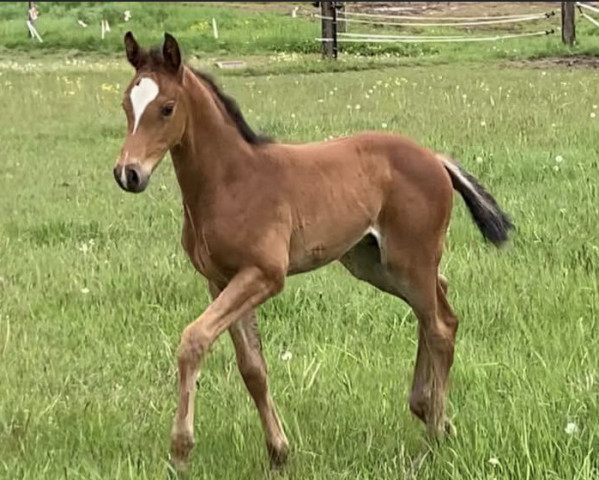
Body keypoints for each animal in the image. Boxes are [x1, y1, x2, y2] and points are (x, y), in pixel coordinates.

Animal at [113, 32, 516, 468]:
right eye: (126, 105)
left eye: (167, 108)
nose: (128, 174)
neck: (230, 182)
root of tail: (436, 159)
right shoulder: (220, 281)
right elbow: (252, 367)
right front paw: (278, 451)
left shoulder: (264, 275)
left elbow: (193, 340)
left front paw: (181, 450)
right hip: (376, 263)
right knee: (438, 305)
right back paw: (429, 411)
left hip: (409, 260)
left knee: (440, 326)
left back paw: (433, 434)